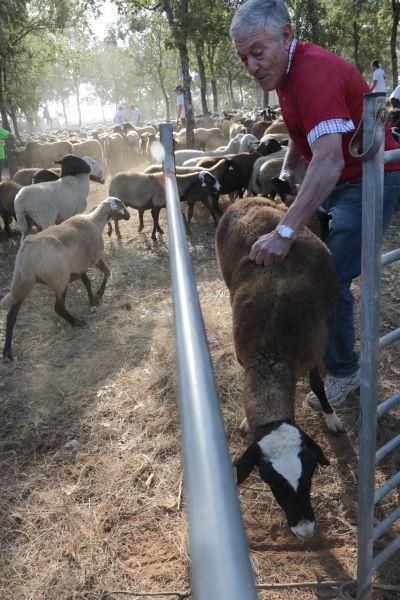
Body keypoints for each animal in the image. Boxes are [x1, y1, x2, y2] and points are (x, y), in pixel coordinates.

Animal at [216, 196, 344, 540]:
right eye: (270, 481)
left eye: (309, 475)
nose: (305, 530)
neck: (271, 353)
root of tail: (248, 199)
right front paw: (245, 421)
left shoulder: (315, 352)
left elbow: (317, 385)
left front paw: (331, 417)